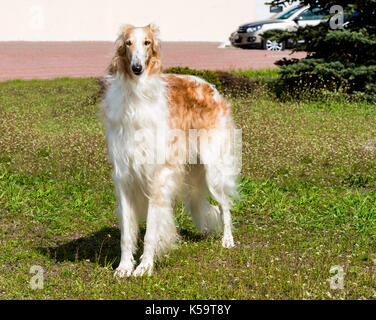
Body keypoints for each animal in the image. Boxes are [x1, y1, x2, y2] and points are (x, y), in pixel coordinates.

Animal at [102, 23, 238, 276]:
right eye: (128, 43)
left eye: (147, 42)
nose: (137, 68)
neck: (137, 98)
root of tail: (209, 85)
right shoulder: (124, 176)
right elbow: (127, 233)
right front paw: (124, 267)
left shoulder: (158, 176)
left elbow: (151, 232)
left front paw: (145, 266)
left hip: (214, 167)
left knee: (225, 204)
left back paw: (227, 240)